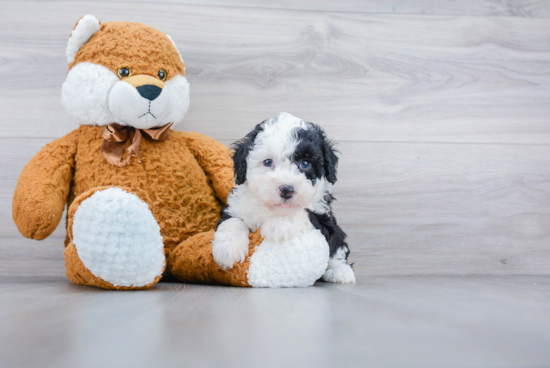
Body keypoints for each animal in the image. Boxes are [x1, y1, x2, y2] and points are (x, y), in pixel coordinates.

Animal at [213, 112, 356, 284]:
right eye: (268, 162)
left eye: (305, 163)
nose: (286, 190)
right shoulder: (237, 206)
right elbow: (232, 221)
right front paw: (227, 249)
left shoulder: (325, 219)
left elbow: (305, 214)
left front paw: (278, 225)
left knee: (339, 250)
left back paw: (340, 271)